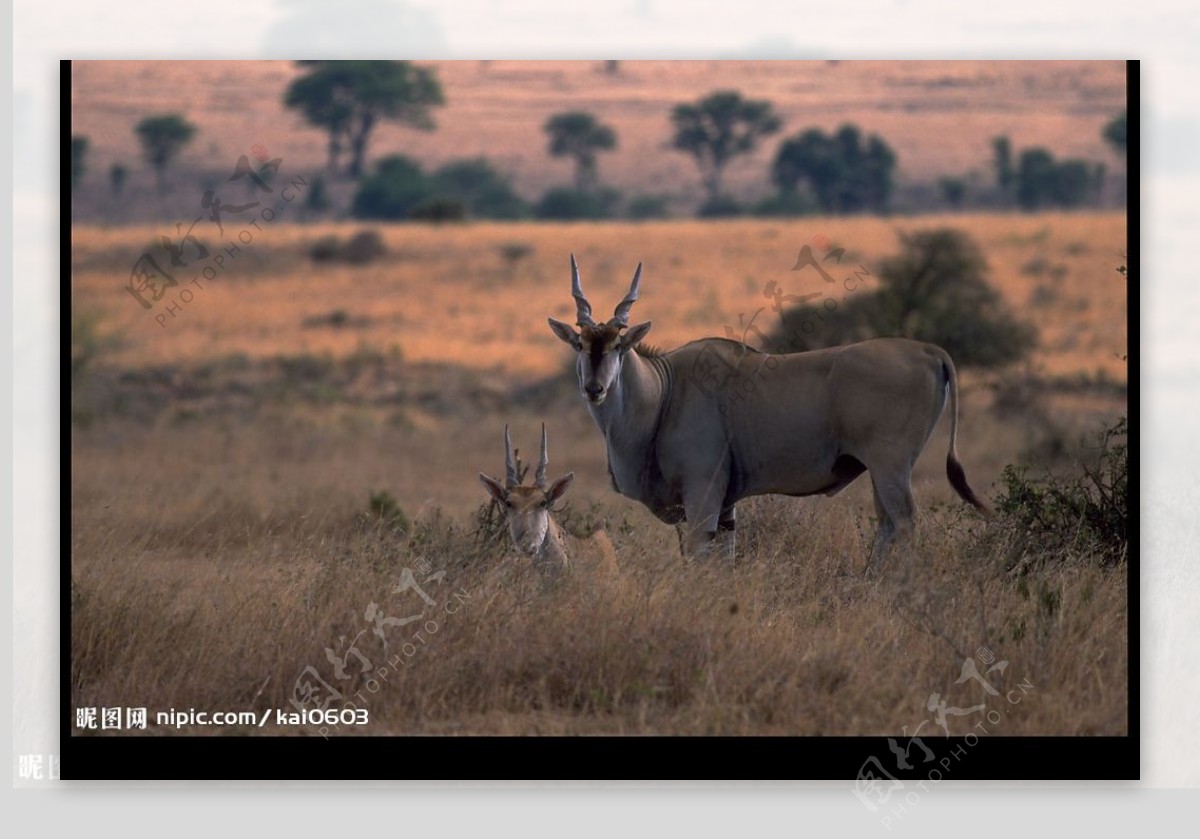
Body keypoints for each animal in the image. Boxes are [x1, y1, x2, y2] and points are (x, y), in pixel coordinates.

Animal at [549, 255, 988, 571]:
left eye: (618, 346)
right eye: (581, 345)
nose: (595, 388)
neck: (665, 392)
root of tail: (929, 351)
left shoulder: (703, 496)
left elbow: (698, 560)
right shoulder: (725, 507)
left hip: (890, 465)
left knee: (905, 523)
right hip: (883, 471)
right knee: (888, 526)